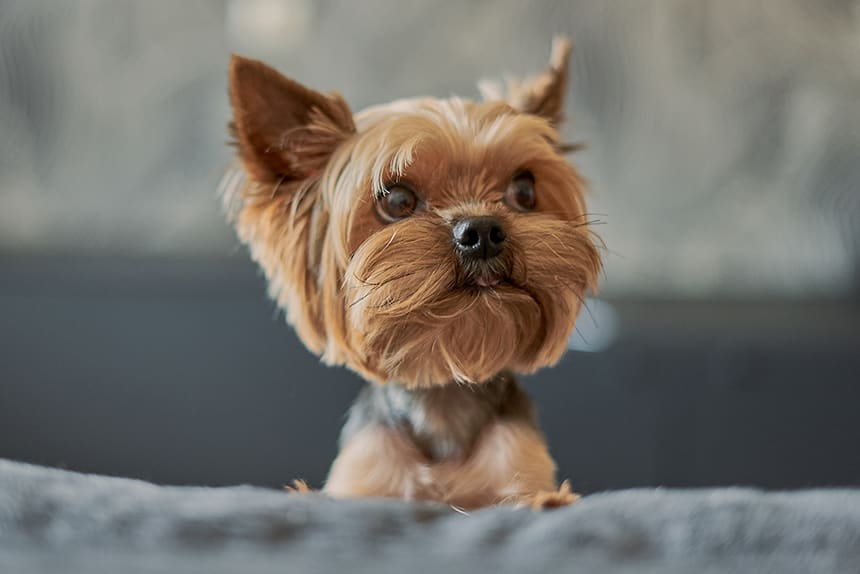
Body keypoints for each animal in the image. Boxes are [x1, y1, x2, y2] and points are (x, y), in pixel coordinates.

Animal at [222, 38, 596, 510]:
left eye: (525, 190)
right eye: (397, 200)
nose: (482, 231)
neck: (443, 398)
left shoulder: (520, 469)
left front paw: (547, 502)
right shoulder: (364, 480)